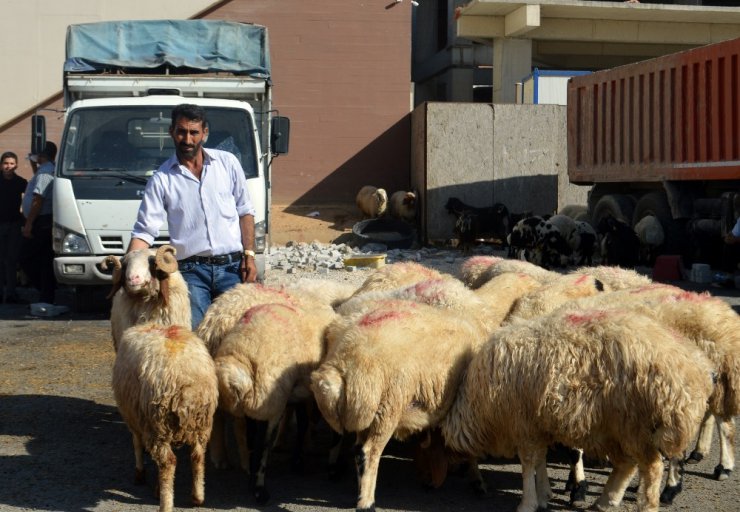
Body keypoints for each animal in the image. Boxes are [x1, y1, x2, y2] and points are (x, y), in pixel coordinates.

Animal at [111, 324, 218, 512]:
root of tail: (185, 380)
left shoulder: (134, 419)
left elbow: (136, 444)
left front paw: (140, 474)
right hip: (200, 423)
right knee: (197, 455)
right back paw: (197, 497)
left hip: (157, 424)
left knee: (168, 463)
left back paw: (165, 504)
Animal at [212, 300, 336, 504]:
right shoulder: (269, 408)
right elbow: (262, 445)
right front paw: (258, 488)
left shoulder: (283, 401)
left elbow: (263, 440)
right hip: (273, 402)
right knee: (266, 443)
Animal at [310, 298, 488, 510]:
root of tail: (342, 363)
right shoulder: (461, 409)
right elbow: (467, 449)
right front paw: (476, 481)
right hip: (387, 408)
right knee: (367, 453)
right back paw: (367, 502)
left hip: (364, 409)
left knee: (357, 449)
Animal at [442, 306, 712, 512]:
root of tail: (692, 371)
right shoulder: (538, 425)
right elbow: (539, 461)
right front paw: (544, 495)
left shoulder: (524, 424)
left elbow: (528, 464)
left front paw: (527, 503)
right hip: (617, 426)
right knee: (627, 464)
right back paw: (606, 501)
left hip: (635, 423)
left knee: (651, 467)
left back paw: (645, 505)